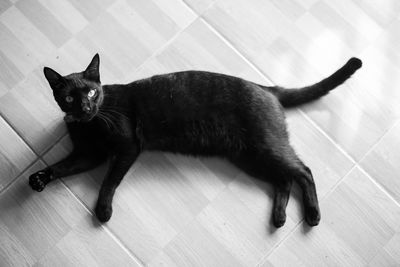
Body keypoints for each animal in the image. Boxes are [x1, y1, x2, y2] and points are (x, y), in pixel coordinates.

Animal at [28, 54, 362, 228]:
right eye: (69, 98)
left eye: (92, 92)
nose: (85, 108)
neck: (89, 125)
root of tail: (266, 88)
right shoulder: (89, 155)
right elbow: (63, 166)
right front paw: (40, 177)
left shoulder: (127, 147)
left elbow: (109, 181)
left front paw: (103, 210)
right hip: (250, 156)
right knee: (284, 179)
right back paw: (279, 217)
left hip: (264, 147)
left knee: (303, 171)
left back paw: (313, 215)